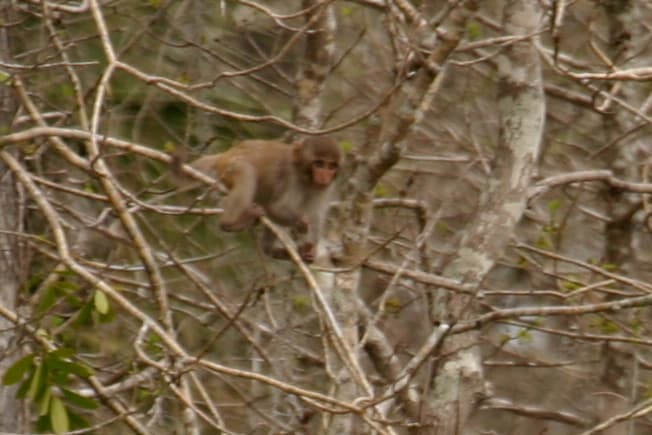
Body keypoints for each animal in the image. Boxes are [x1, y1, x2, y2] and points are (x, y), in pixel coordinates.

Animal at [190, 136, 341, 262]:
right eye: (319, 164)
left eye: (331, 166)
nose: (324, 176)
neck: (306, 178)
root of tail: (225, 154)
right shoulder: (290, 178)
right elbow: (276, 208)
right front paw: (300, 222)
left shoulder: (323, 188)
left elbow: (316, 215)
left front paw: (310, 250)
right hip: (230, 166)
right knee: (246, 172)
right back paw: (229, 223)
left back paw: (271, 250)